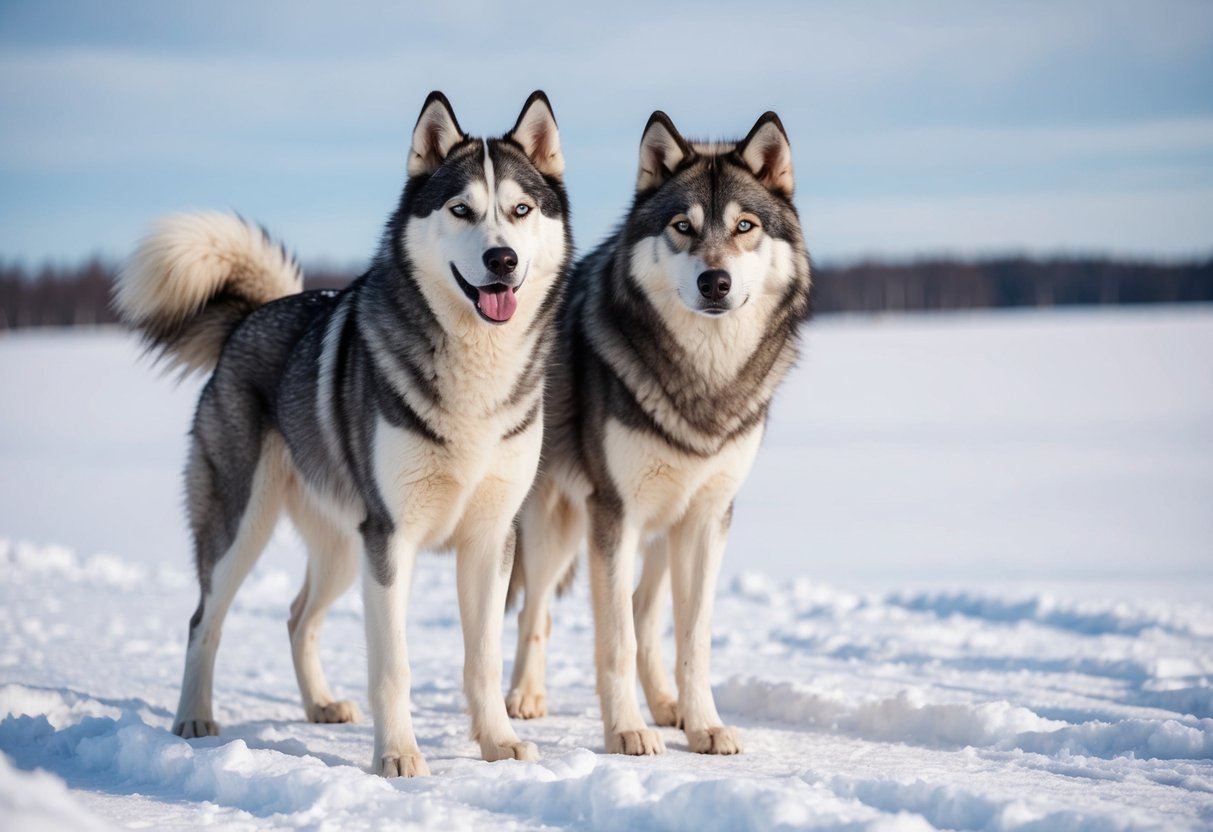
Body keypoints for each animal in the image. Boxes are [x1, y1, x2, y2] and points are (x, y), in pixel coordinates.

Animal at [113, 90, 572, 777]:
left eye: (521, 210)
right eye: (461, 210)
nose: (503, 260)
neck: (475, 371)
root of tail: (253, 316)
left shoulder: (490, 539)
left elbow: (485, 660)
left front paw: (497, 743)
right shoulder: (390, 539)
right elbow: (393, 666)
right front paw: (399, 757)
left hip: (340, 547)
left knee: (297, 618)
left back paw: (321, 705)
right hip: (243, 529)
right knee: (203, 621)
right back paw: (193, 717)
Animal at [505, 110, 811, 756]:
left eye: (744, 226)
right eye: (682, 227)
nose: (716, 282)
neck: (703, 379)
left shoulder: (709, 519)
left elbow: (691, 639)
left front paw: (703, 725)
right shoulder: (612, 514)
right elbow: (615, 639)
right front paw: (626, 731)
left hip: (662, 532)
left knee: (647, 615)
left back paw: (667, 706)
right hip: (555, 529)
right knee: (535, 611)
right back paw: (525, 698)